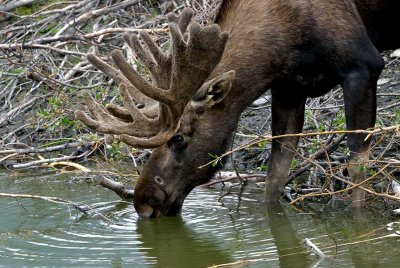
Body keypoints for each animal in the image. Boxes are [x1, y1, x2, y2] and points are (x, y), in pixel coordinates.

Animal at [76, 0, 400, 218]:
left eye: (178, 139)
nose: (143, 202)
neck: (279, 49)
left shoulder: (362, 65)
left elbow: (357, 167)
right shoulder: (289, 89)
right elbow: (275, 173)